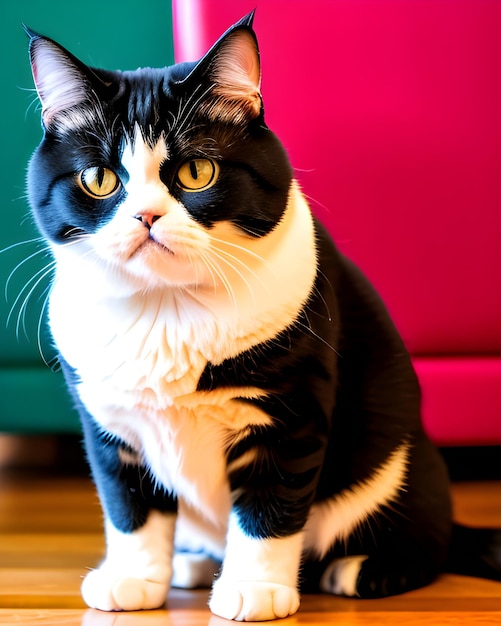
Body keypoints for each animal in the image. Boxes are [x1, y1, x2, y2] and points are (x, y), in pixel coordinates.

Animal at [24, 13, 500, 620]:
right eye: (99, 179)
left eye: (196, 171)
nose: (146, 216)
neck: (166, 308)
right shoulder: (110, 427)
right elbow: (129, 508)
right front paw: (133, 579)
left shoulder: (289, 414)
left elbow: (268, 510)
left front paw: (254, 589)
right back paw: (191, 564)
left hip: (401, 469)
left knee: (423, 539)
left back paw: (361, 569)